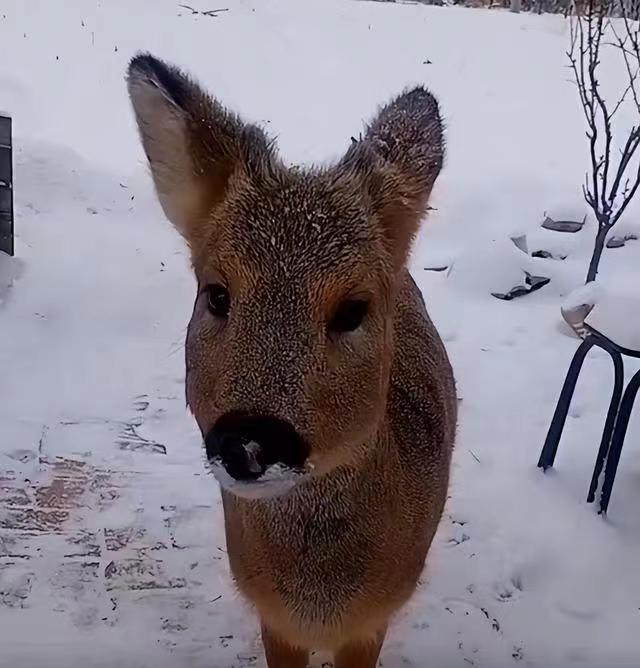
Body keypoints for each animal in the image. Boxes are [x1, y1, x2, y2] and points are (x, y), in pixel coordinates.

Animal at [127, 53, 456, 668]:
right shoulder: (272, 617)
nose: (250, 440)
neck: (318, 606)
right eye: (217, 294)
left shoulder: (374, 620)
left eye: (353, 309)